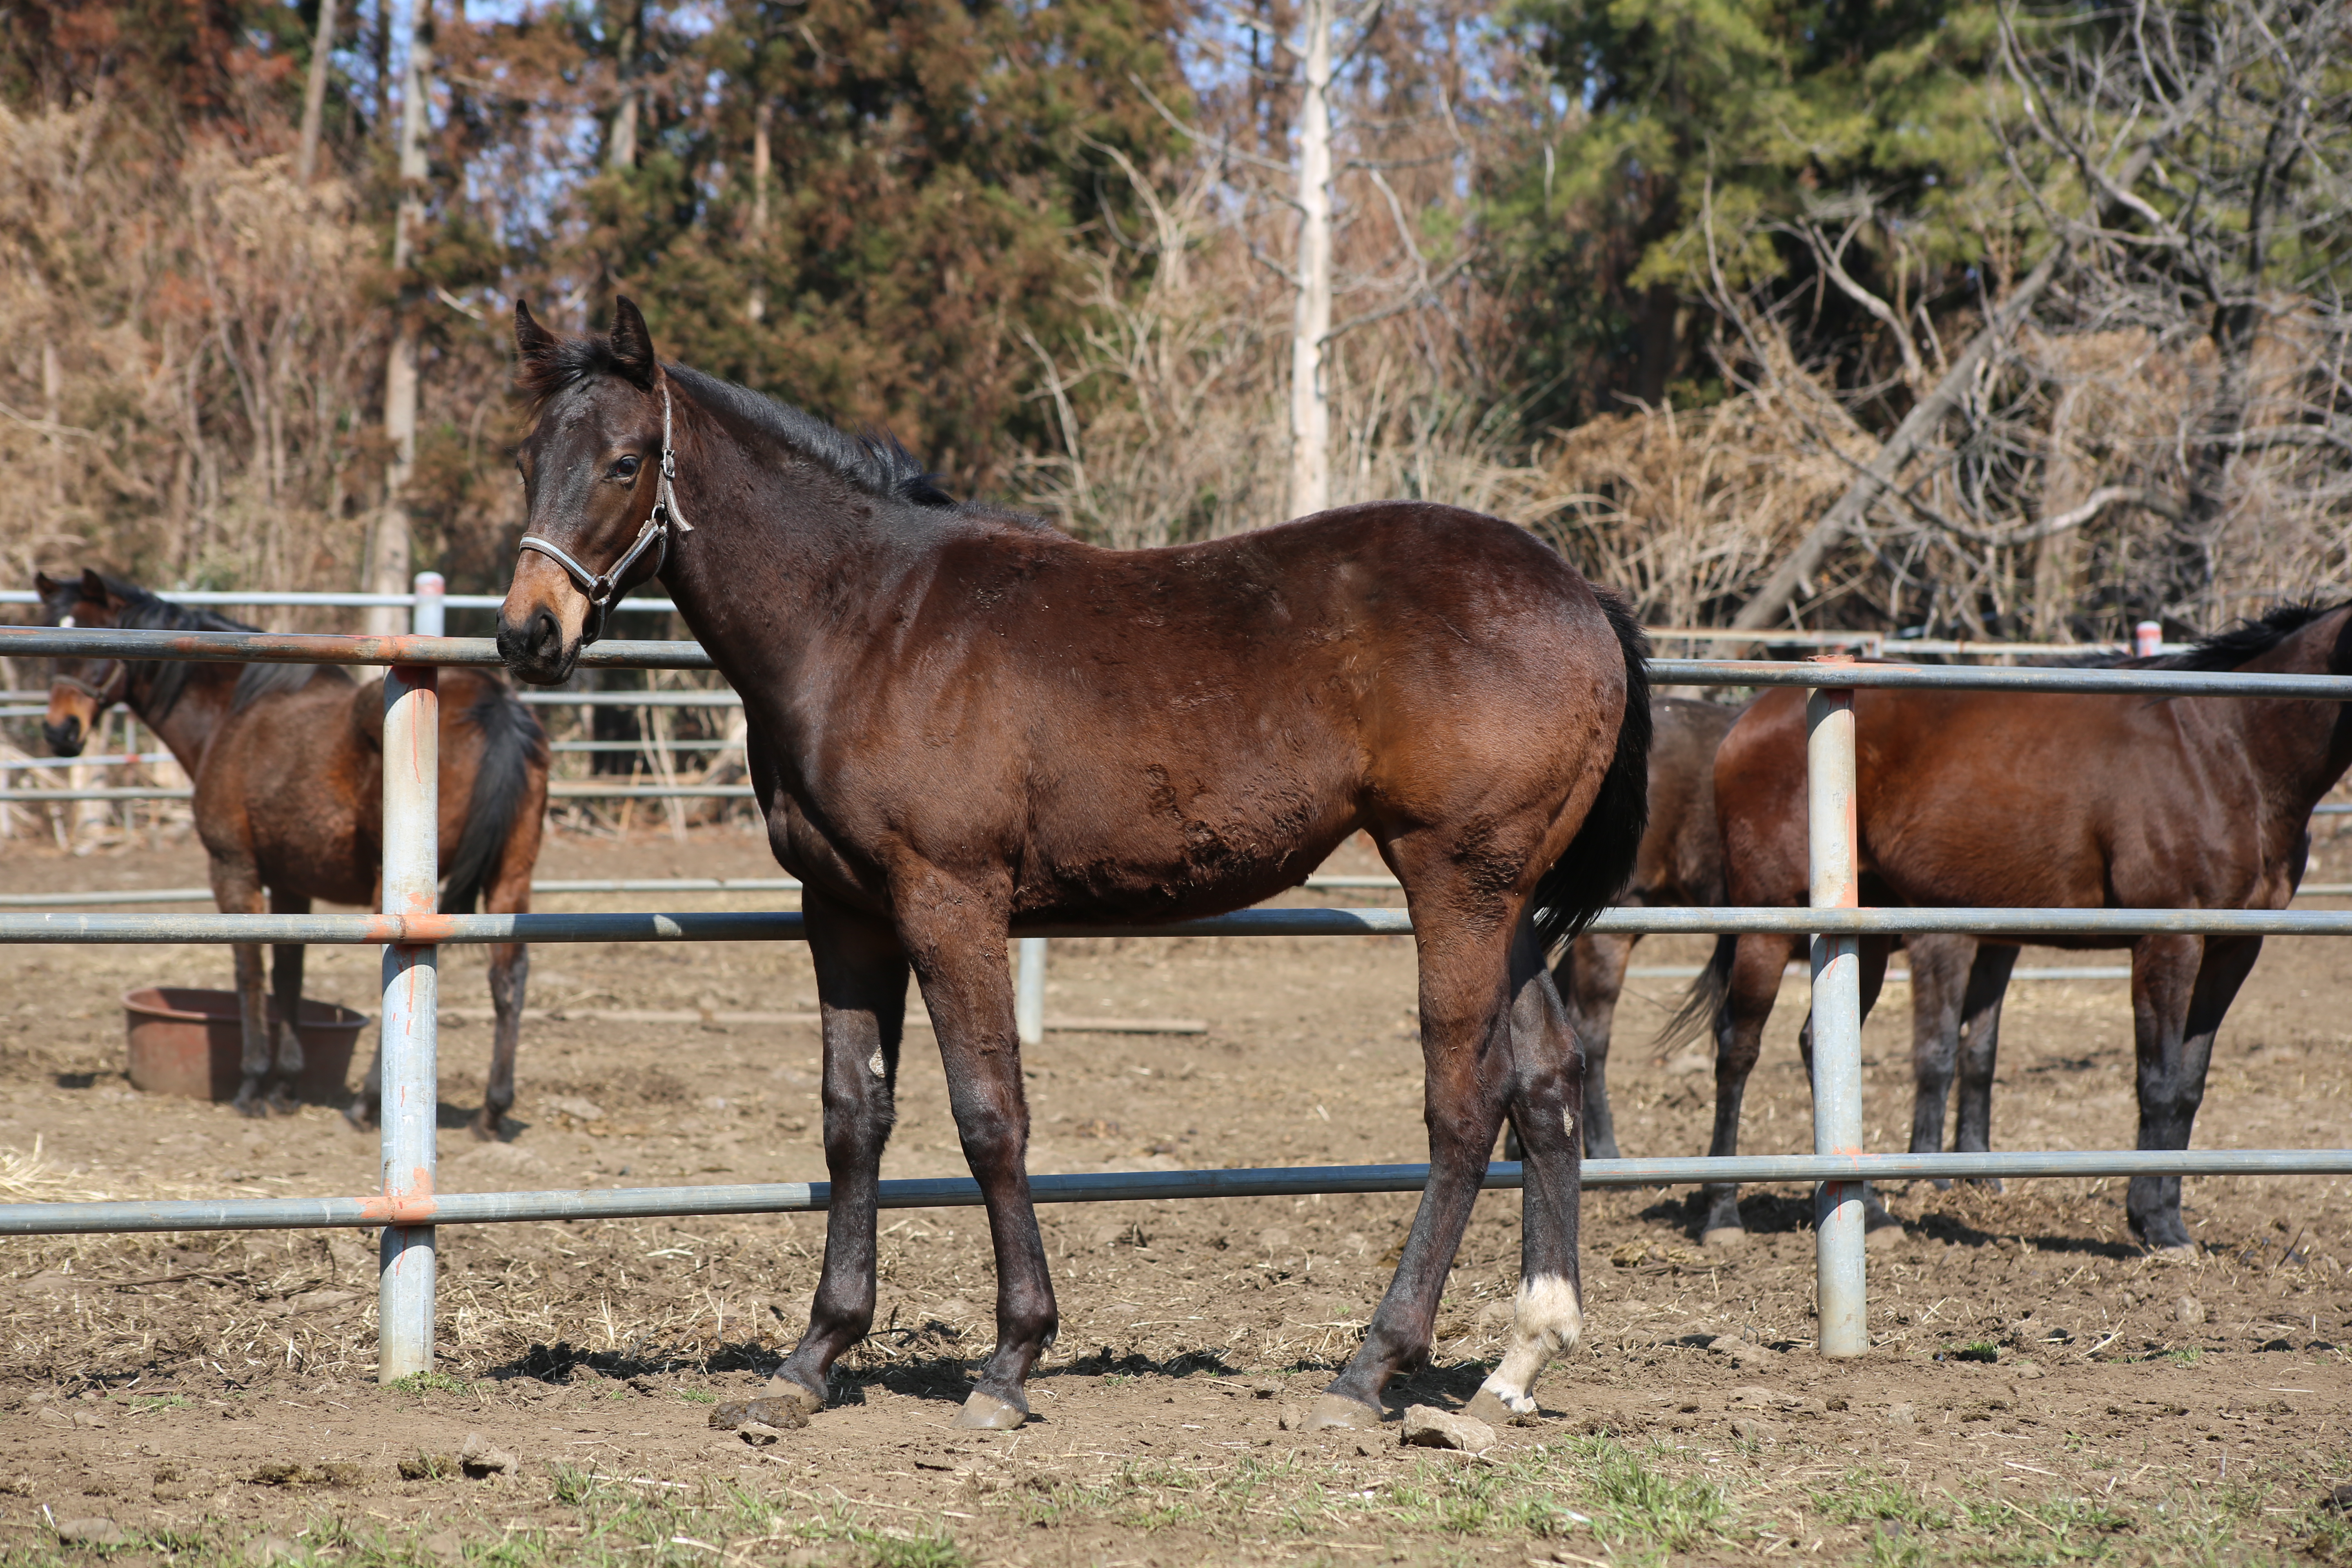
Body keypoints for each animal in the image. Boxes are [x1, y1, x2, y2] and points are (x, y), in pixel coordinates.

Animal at [37, 571, 550, 1133]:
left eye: (90, 639)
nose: (60, 731)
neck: (234, 709)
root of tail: (495, 705)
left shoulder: (233, 870)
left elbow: (250, 970)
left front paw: (253, 1083)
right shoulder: (290, 884)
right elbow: (288, 974)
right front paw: (285, 1084)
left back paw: (368, 1102)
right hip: (510, 880)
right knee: (509, 980)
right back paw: (492, 1109)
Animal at [491, 297, 1656, 1439]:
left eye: (625, 461)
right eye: (527, 457)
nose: (527, 634)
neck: (867, 623)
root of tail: (1580, 595)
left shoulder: (949, 898)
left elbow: (988, 1115)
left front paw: (1010, 1360)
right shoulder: (844, 910)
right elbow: (853, 1118)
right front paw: (812, 1359)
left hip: (1454, 883)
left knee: (1466, 1101)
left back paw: (1370, 1369)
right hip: (1505, 899)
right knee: (1547, 1080)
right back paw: (1517, 1360)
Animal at [1684, 606, 2342, 1260]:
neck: (2225, 747)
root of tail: (1750, 718)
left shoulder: (2233, 948)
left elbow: (2188, 1086)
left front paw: (2169, 1218)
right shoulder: (2169, 941)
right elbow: (2156, 1081)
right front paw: (2155, 1224)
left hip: (1859, 938)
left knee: (1818, 1045)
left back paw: (1870, 1213)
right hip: (1768, 928)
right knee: (1738, 1049)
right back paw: (1722, 1213)